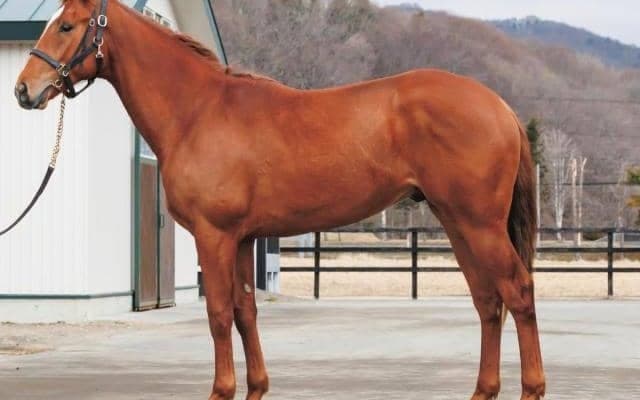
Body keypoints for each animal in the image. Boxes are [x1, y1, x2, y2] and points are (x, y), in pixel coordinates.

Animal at [14, 1, 545, 399]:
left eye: (66, 25)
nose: (23, 90)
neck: (198, 112)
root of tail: (500, 106)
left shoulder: (215, 236)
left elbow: (219, 314)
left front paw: (221, 390)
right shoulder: (243, 239)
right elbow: (246, 312)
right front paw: (255, 387)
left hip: (478, 225)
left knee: (517, 291)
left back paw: (532, 387)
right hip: (457, 224)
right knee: (487, 300)